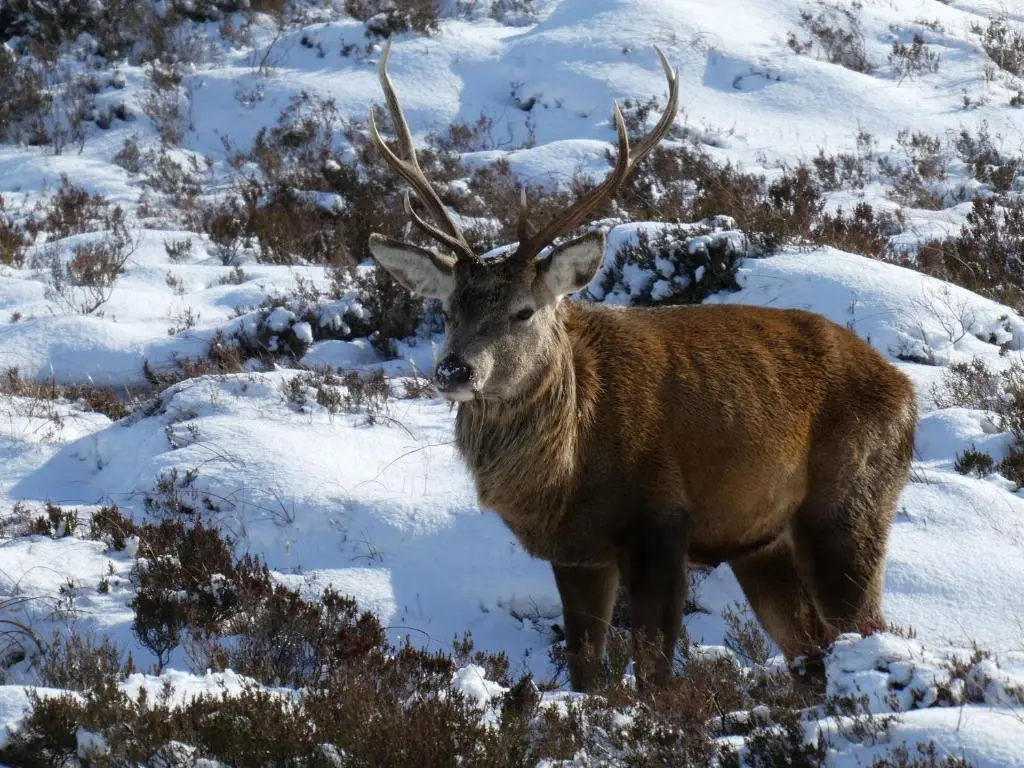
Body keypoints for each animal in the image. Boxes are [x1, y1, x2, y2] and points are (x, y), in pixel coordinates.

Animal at [366, 42, 918, 692]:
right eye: (449, 308)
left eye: (524, 311)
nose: (455, 371)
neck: (570, 470)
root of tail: (907, 391)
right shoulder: (576, 552)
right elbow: (586, 669)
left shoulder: (661, 525)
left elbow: (655, 672)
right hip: (761, 544)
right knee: (810, 653)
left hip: (850, 504)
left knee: (865, 627)